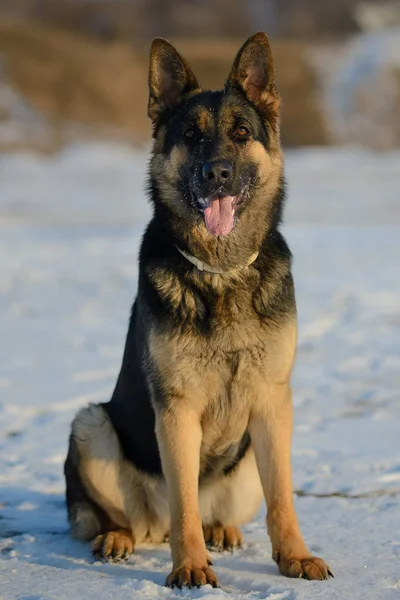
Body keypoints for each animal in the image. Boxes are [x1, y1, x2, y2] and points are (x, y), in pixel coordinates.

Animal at [65, 31, 332, 584]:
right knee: (130, 515)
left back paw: (221, 531)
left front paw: (294, 556)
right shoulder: (177, 409)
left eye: (241, 132)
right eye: (191, 134)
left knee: (219, 510)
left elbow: (283, 498)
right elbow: (182, 502)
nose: (218, 173)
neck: (221, 271)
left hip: (246, 459)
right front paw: (190, 568)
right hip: (91, 426)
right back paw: (119, 537)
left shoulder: (273, 403)